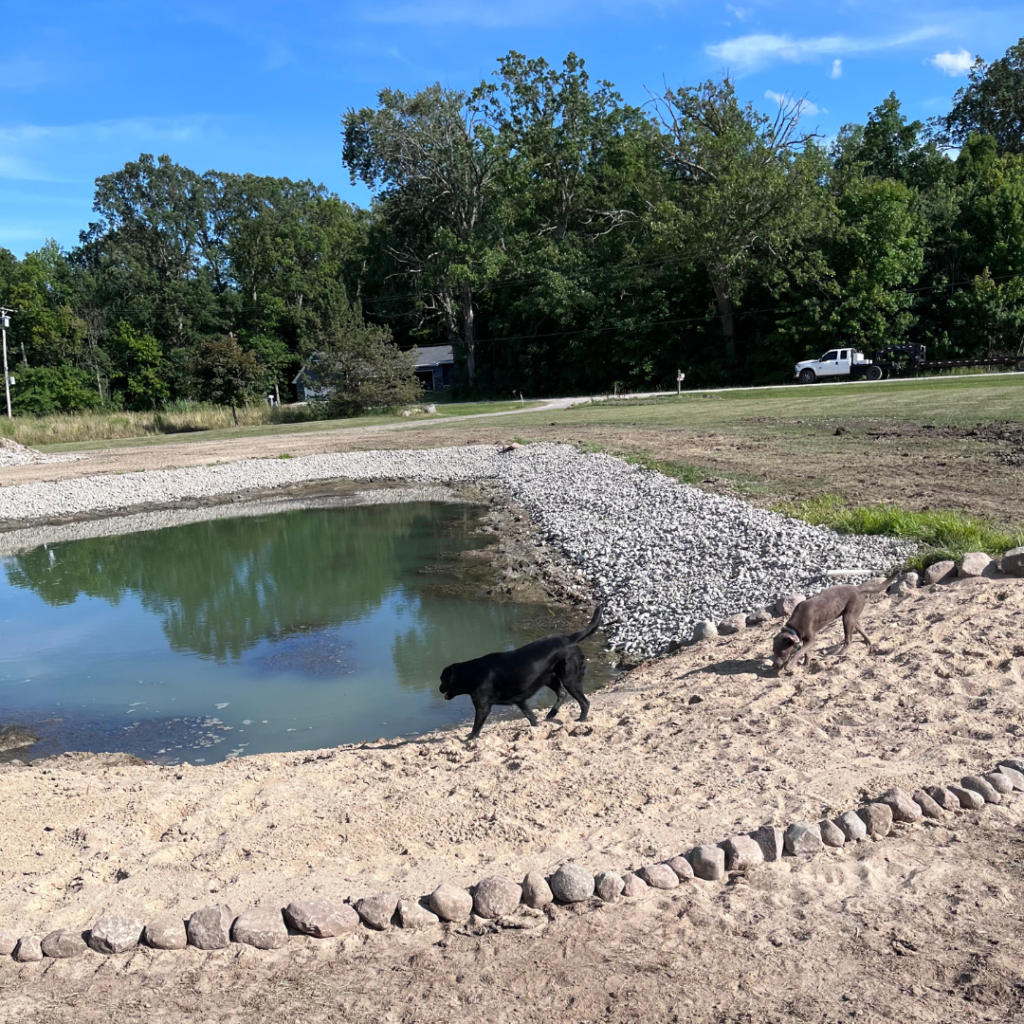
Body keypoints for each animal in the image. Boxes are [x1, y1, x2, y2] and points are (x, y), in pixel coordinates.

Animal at [438, 602, 598, 741]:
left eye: (442, 679)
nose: (439, 688)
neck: (472, 673)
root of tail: (570, 638)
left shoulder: (483, 707)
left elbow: (476, 727)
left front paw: (469, 739)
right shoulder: (520, 701)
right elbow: (531, 716)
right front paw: (535, 729)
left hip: (569, 679)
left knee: (584, 702)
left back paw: (580, 721)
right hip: (550, 678)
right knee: (562, 694)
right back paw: (551, 714)